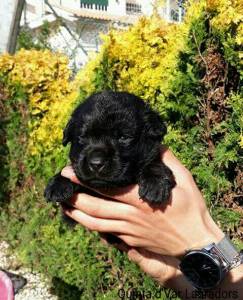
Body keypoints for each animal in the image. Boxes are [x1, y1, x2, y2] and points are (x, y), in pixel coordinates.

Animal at [44, 90, 175, 205]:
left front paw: (155, 183)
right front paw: (57, 183)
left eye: (123, 137)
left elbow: (153, 162)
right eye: (83, 137)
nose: (96, 164)